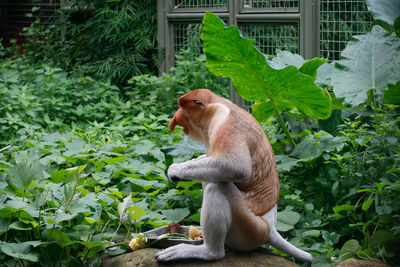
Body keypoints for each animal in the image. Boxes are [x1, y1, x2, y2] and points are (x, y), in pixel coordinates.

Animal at [155, 89, 312, 262]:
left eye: (182, 107)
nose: (174, 119)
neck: (217, 108)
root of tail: (269, 228)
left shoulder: (227, 124)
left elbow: (235, 167)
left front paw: (175, 170)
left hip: (250, 227)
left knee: (218, 187)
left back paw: (209, 252)